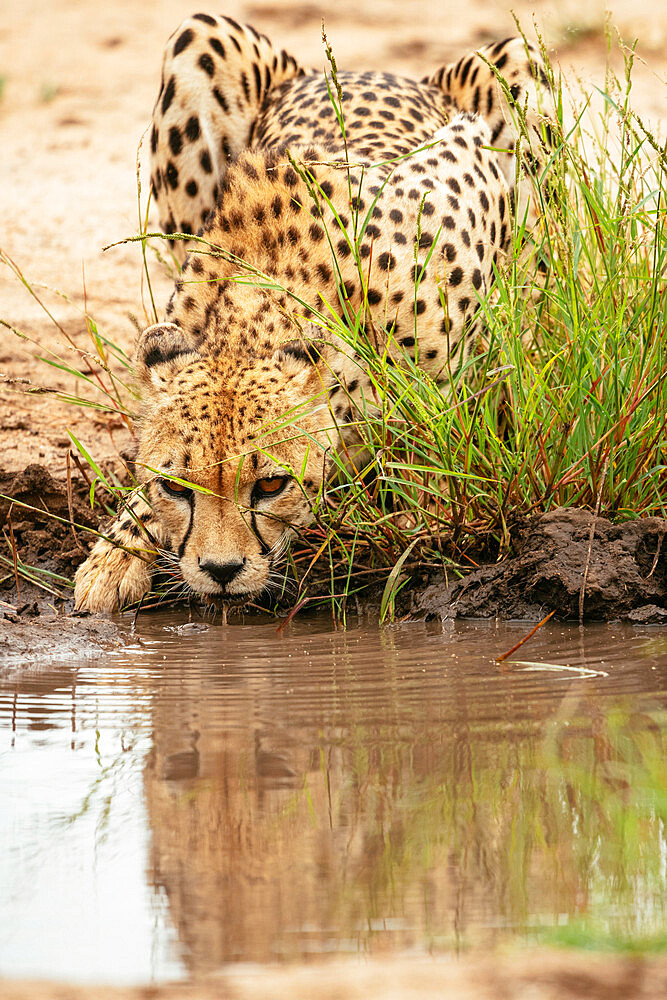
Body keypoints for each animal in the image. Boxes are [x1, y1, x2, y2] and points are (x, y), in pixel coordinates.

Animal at [73, 11, 556, 612]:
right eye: (177, 488)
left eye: (270, 485)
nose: (221, 570)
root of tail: (369, 68)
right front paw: (117, 553)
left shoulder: (466, 164)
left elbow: (440, 438)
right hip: (201, 35)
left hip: (519, 64)